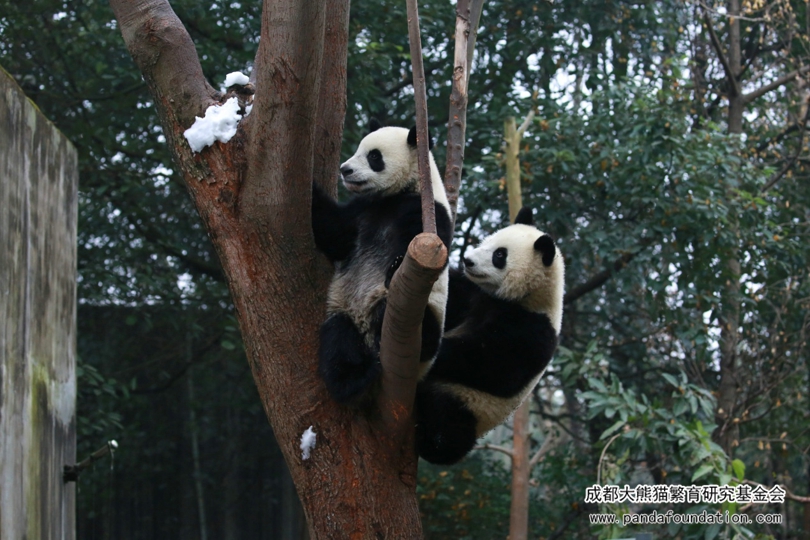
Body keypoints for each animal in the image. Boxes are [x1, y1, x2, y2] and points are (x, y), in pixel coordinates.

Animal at [311, 122, 453, 405]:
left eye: (374, 157)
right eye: (358, 149)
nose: (345, 169)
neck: (392, 197)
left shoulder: (426, 211)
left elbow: (439, 245)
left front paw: (396, 264)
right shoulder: (361, 211)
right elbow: (332, 232)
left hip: (425, 314)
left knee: (422, 328)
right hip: (344, 310)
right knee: (338, 339)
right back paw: (354, 380)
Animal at [414, 207, 564, 465]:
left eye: (499, 255)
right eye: (487, 241)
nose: (468, 260)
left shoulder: (533, 330)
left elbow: (493, 366)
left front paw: (437, 348)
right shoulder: (473, 293)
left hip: (467, 404)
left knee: (446, 433)